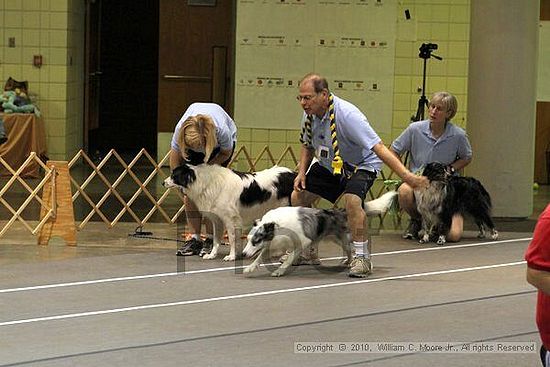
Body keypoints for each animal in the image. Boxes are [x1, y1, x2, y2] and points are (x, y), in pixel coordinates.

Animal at [164, 163, 298, 262]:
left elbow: (232, 238)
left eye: (174, 175)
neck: (206, 182)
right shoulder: (217, 219)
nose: (163, 182)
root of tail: (295, 174)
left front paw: (232, 256)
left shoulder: (230, 219)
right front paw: (212, 254)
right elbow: (216, 239)